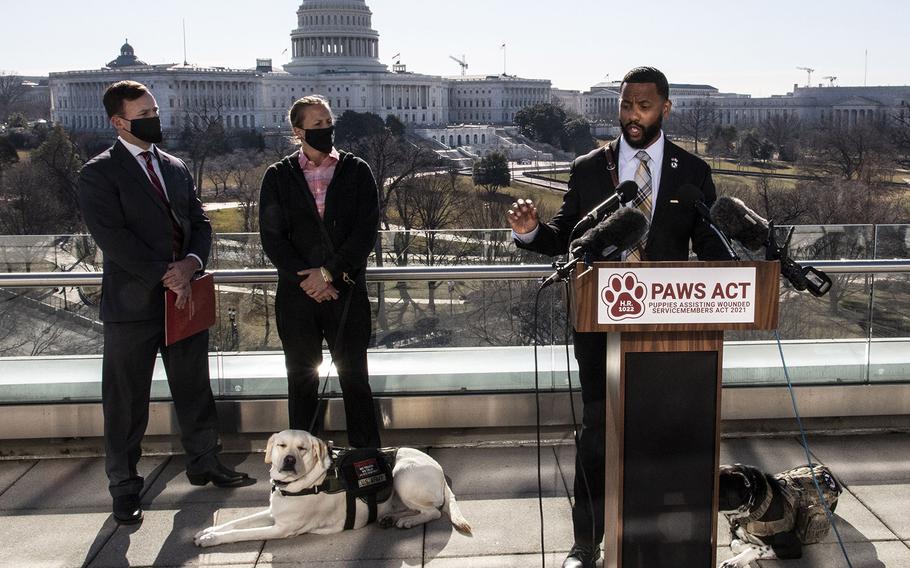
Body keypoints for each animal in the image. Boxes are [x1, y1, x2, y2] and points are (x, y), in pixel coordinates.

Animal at [196, 430, 474, 544]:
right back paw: (392, 517)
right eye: (281, 445)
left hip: (401, 474)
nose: (289, 460)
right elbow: (236, 522)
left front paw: (211, 539)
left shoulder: (282, 529)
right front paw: (207, 530)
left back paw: (406, 521)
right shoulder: (273, 512)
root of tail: (440, 470)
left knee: (433, 512)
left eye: (302, 448)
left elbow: (241, 533)